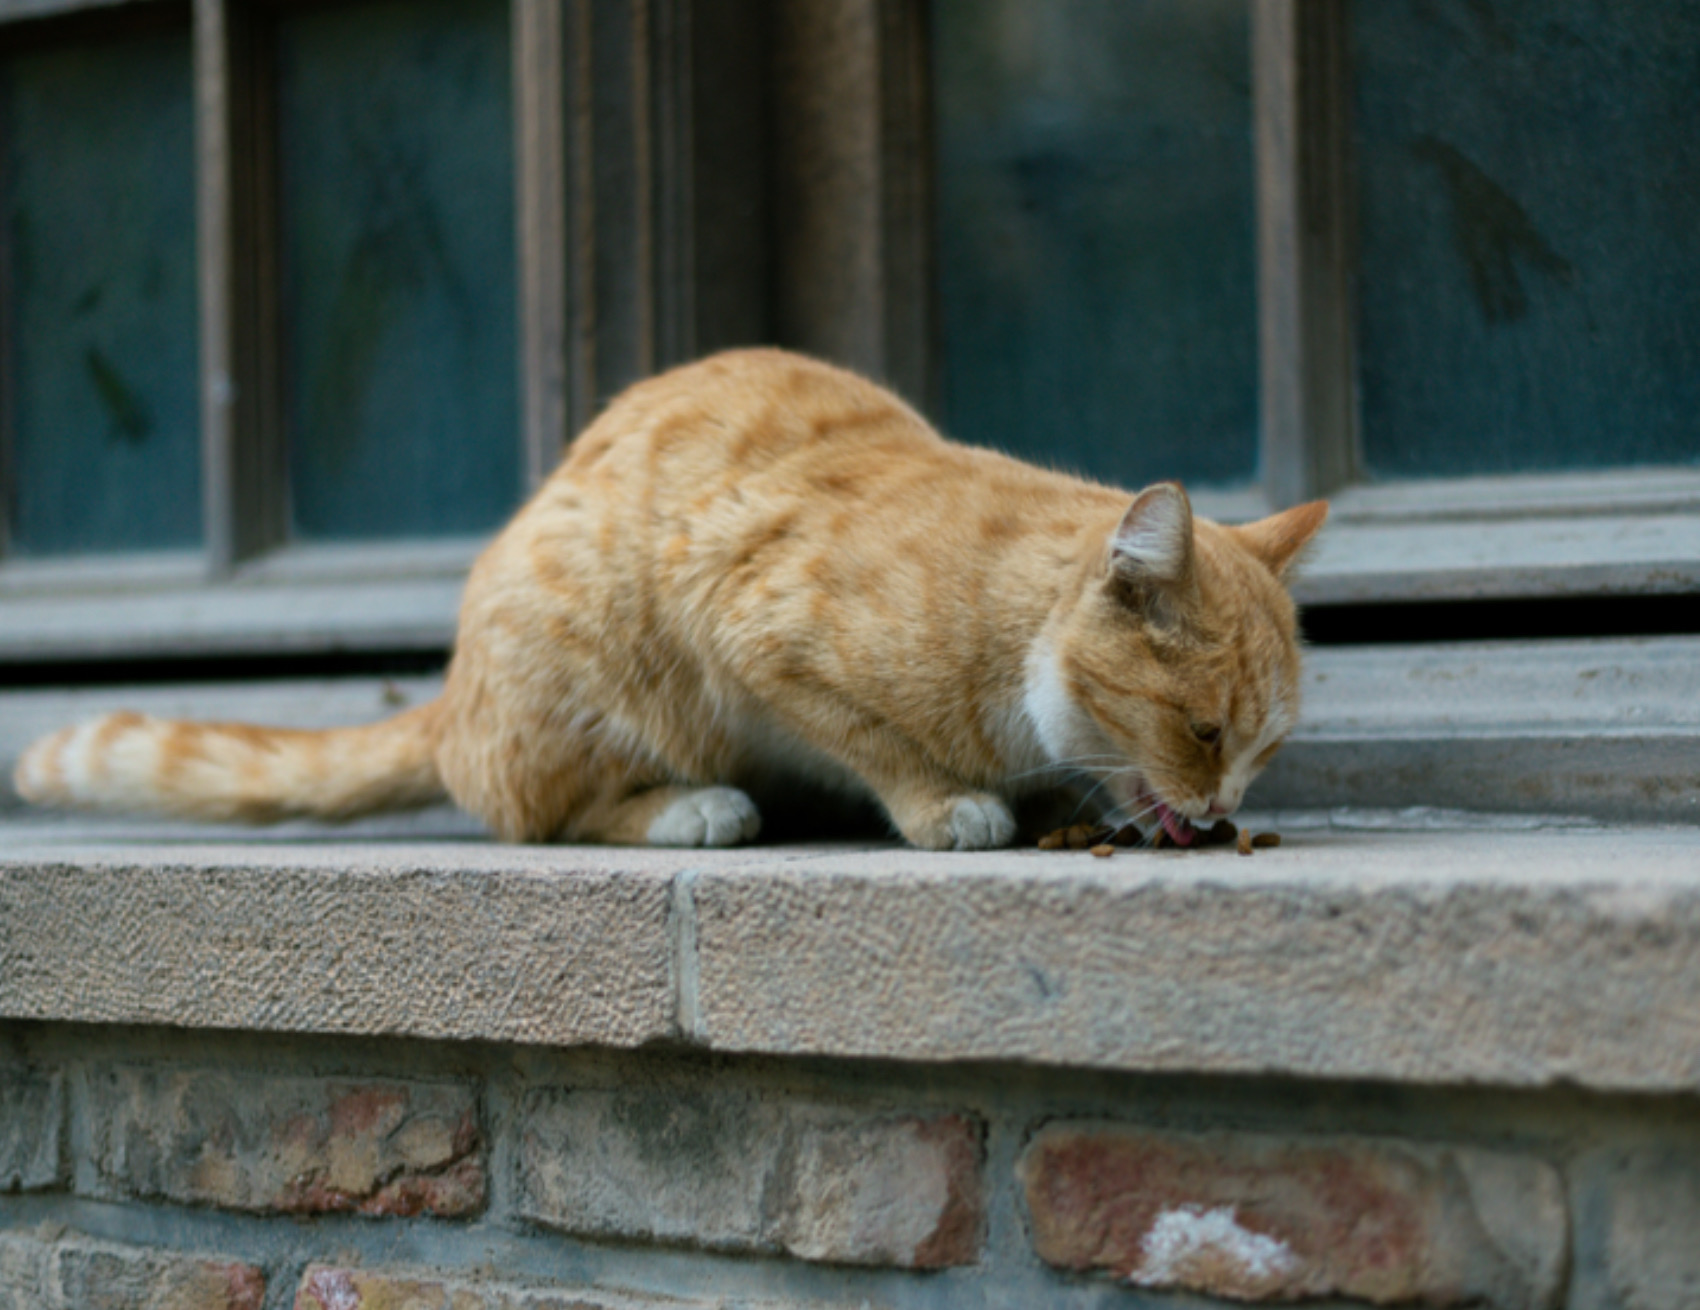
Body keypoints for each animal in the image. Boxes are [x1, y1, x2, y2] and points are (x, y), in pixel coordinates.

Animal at [13, 346, 1326, 849]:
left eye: (1262, 749)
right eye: (1202, 729)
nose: (1221, 808)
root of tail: (450, 695)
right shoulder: (744, 622)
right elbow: (873, 741)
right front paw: (944, 802)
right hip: (600, 663)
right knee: (540, 813)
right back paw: (694, 807)